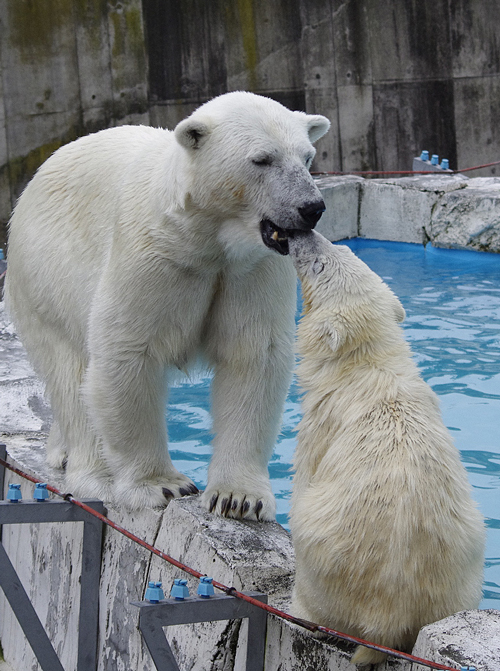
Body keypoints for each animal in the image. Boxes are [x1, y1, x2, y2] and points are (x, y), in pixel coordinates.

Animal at [4, 92, 332, 516]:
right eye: (262, 159)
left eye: (307, 157)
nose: (311, 208)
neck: (205, 237)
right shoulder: (154, 256)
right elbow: (127, 352)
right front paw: (162, 485)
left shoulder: (249, 269)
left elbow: (253, 355)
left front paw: (238, 497)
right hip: (45, 277)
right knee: (70, 371)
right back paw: (94, 473)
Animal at [288, 232, 486, 668]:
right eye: (344, 250)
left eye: (320, 266)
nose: (304, 234)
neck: (369, 366)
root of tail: (387, 619)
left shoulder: (323, 421)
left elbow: (306, 476)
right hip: (462, 566)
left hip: (325, 561)